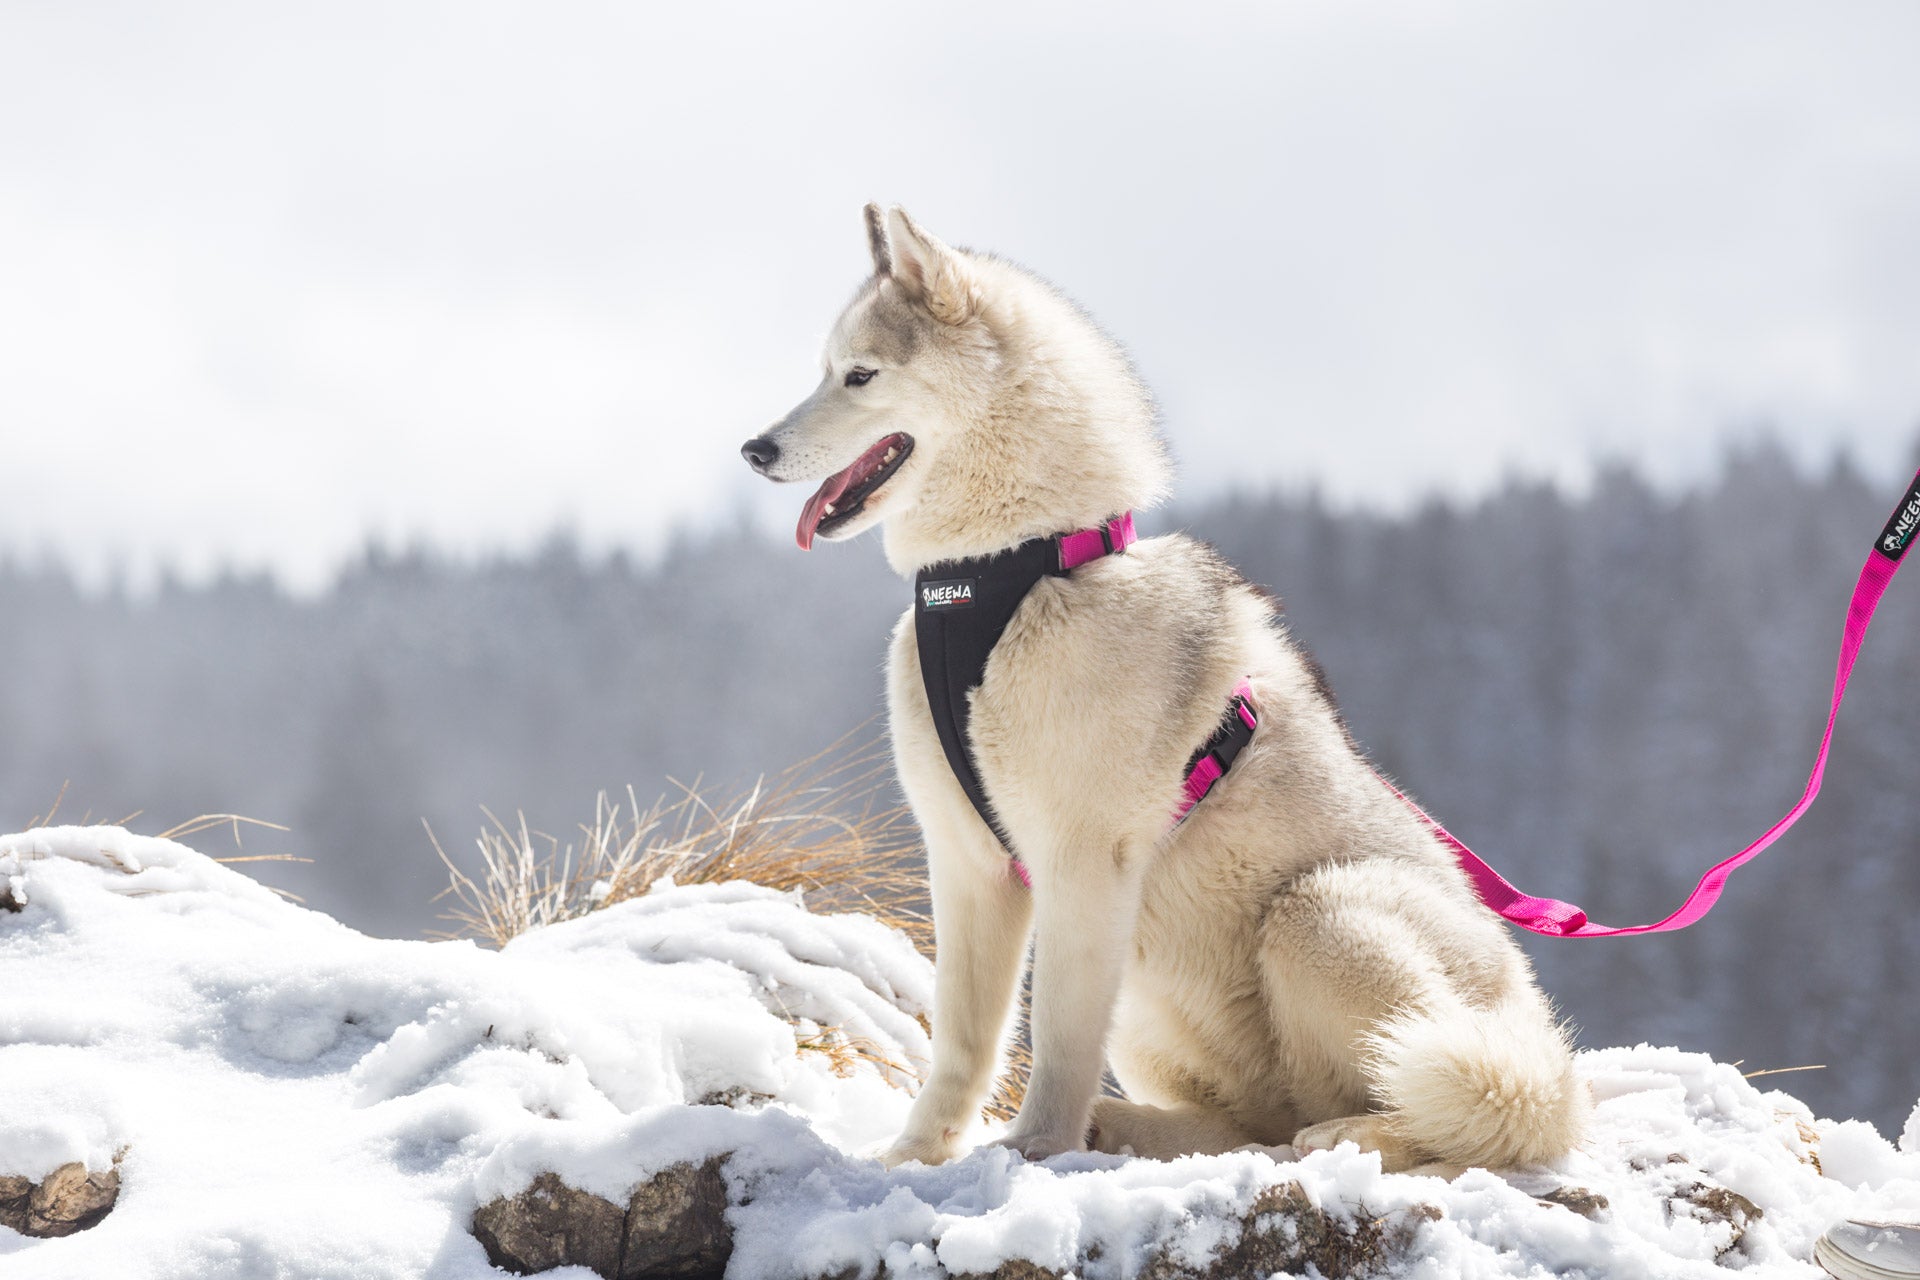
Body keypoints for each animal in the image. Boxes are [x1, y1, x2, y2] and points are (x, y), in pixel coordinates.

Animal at [741, 205, 1582, 1174]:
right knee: (1254, 1124)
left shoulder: (1080, 861)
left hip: (1324, 914)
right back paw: (1137, 1129)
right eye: (826, 369)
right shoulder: (968, 863)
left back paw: (1349, 1136)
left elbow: (1059, 1034)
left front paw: (1037, 1147)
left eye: (860, 374)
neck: (1010, 573)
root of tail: (1548, 1059)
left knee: (1454, 1116)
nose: (754, 449)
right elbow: (964, 1041)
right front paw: (916, 1155)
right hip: (1162, 1011)